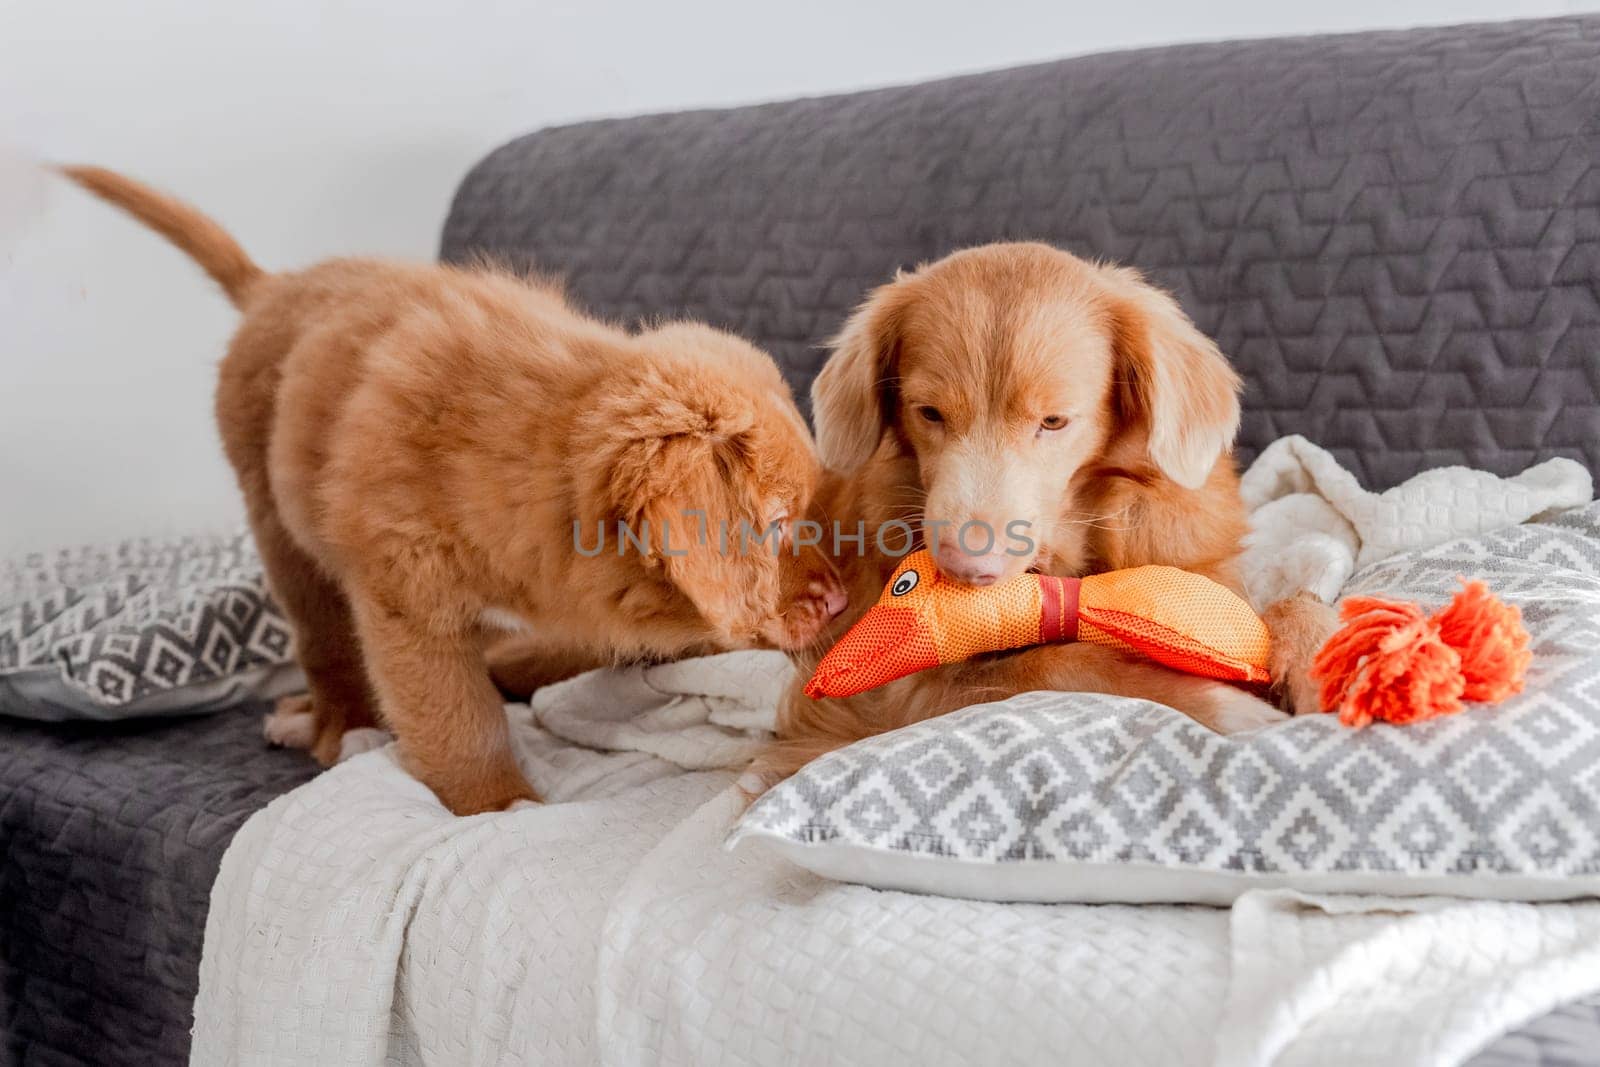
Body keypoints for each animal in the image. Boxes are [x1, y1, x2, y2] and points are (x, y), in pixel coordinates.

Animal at [59, 167, 851, 819]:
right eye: (775, 524)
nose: (843, 599)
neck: (534, 454)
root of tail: (272, 287)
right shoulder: (406, 599)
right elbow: (456, 715)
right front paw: (497, 802)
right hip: (279, 524)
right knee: (321, 635)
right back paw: (341, 721)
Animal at [761, 239, 1337, 777]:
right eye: (929, 413)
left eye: (1054, 421)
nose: (966, 568)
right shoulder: (902, 693)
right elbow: (1066, 661)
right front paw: (1224, 705)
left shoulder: (1211, 585)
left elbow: (1294, 603)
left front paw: (1321, 658)